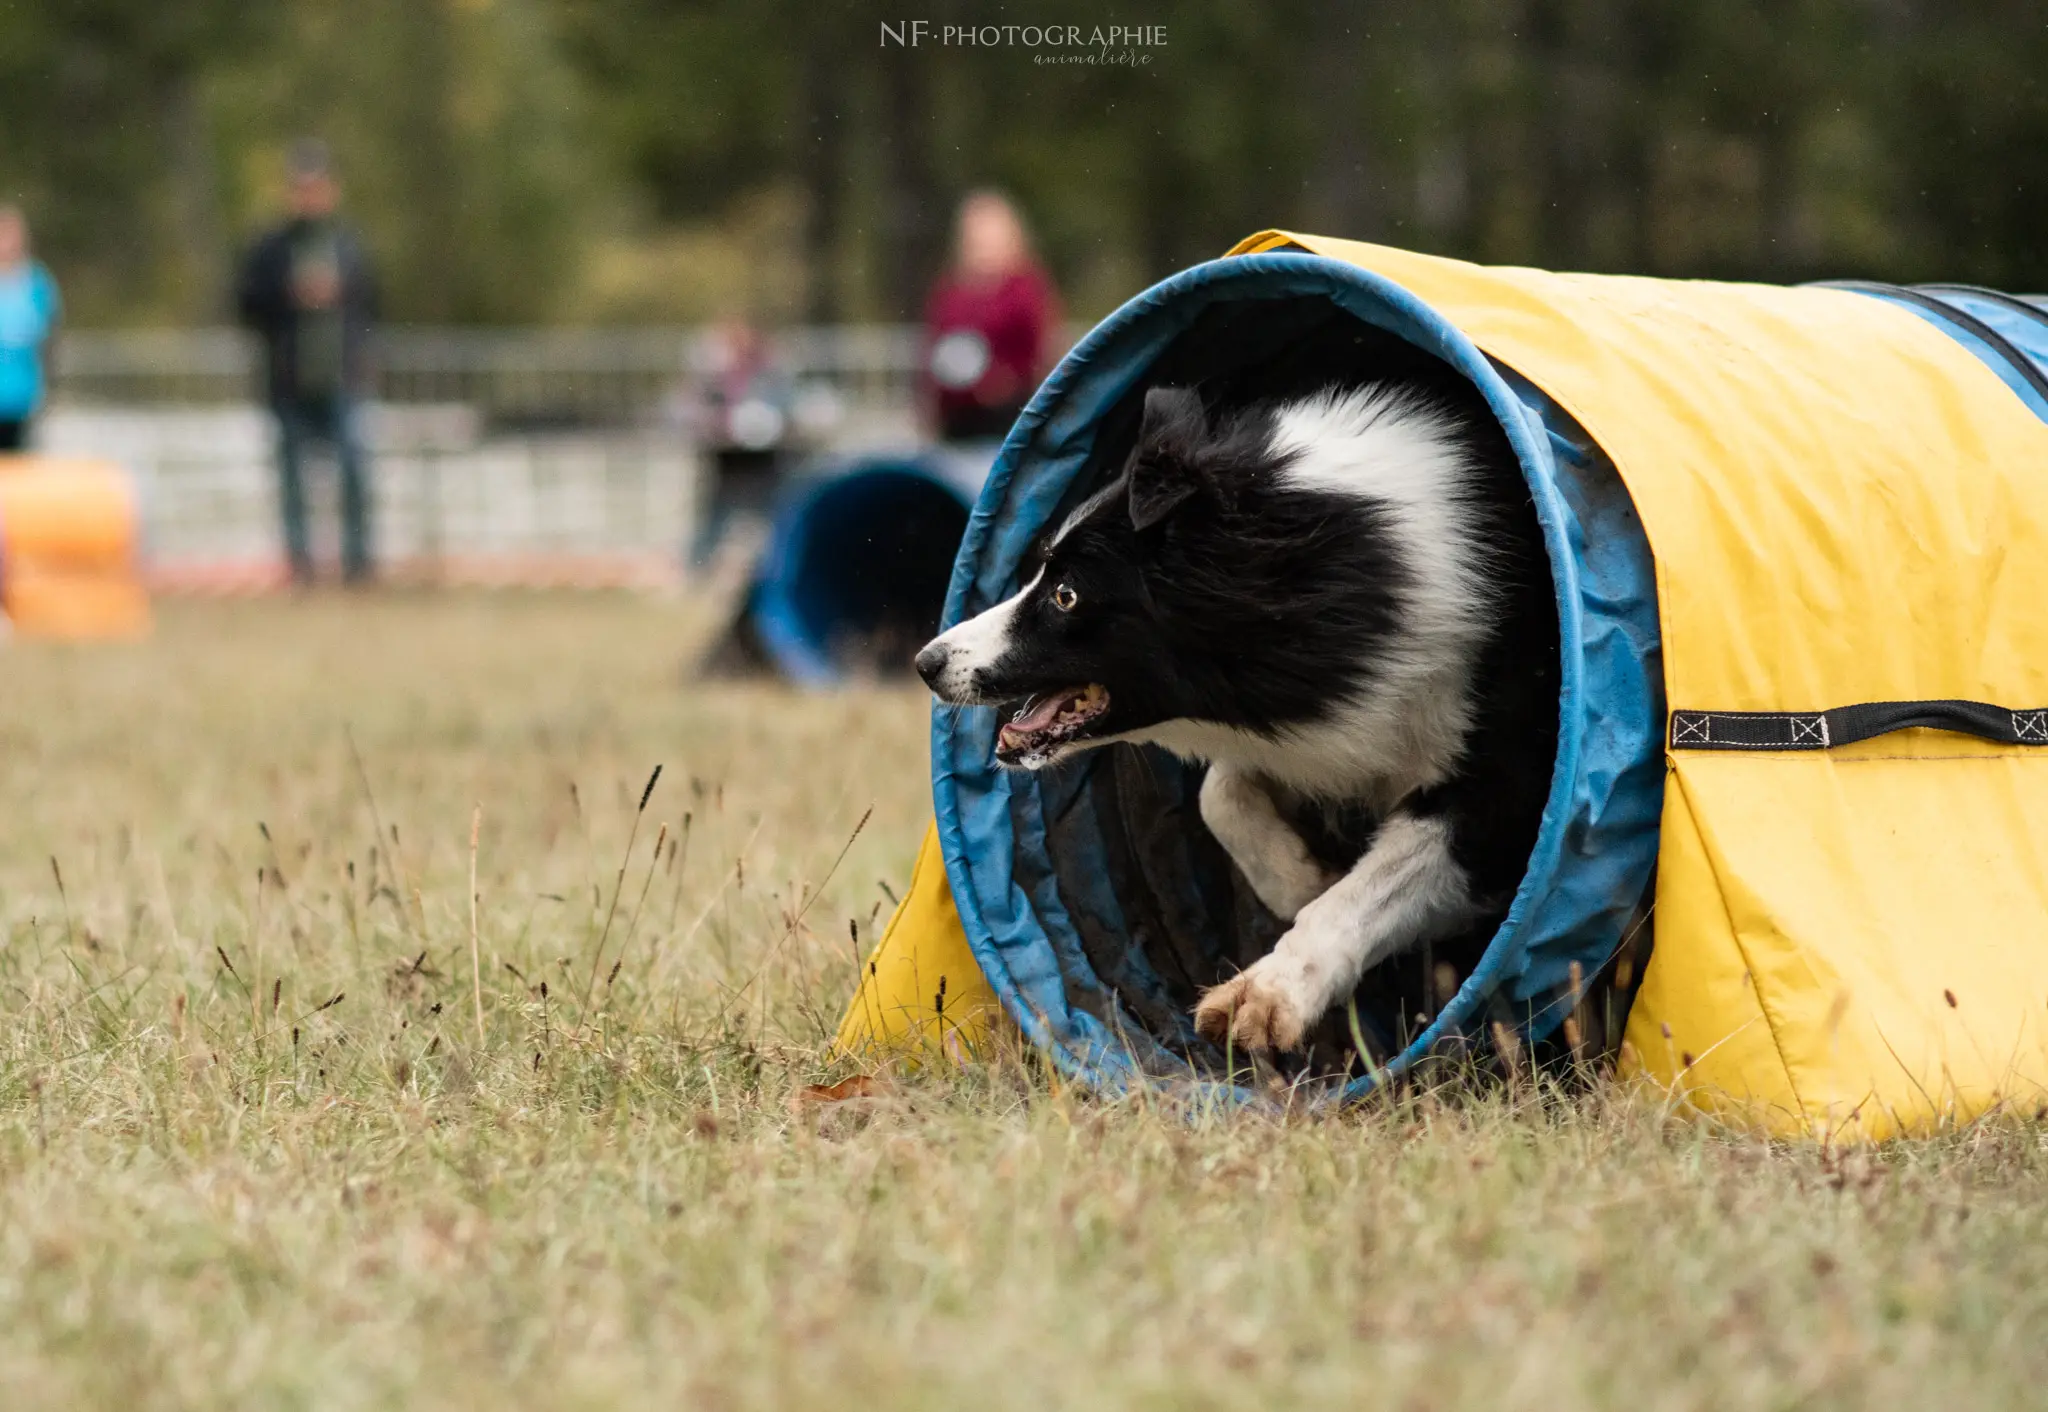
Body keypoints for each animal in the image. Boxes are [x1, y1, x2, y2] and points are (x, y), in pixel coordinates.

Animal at [913, 379, 1548, 1049]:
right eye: (1040, 571)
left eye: (1066, 595)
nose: (927, 662)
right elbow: (1218, 793)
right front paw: (1299, 877)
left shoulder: (1502, 790)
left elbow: (1375, 884)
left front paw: (1268, 993)